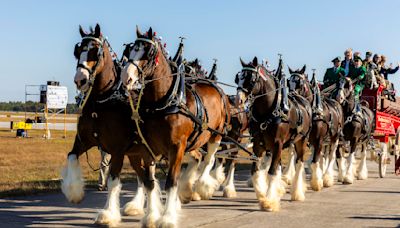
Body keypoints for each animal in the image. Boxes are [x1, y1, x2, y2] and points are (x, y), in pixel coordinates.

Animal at [60, 24, 148, 227]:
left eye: (95, 51)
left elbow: (113, 181)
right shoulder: (83, 141)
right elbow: (71, 156)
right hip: (134, 154)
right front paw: (74, 192)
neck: (100, 102)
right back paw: (135, 206)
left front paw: (108, 214)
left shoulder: (117, 150)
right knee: (141, 176)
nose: (80, 80)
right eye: (77, 52)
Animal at [120, 26, 230, 226]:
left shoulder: (177, 146)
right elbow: (149, 181)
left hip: (215, 136)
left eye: (148, 53)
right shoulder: (148, 147)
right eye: (131, 50)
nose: (127, 77)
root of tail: (218, 90)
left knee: (208, 160)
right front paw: (152, 216)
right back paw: (186, 192)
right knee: (197, 158)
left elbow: (171, 181)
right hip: (192, 142)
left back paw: (202, 187)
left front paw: (167, 217)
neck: (164, 102)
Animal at [234, 57, 312, 212]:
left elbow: (271, 171)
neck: (268, 112)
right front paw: (262, 193)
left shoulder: (278, 143)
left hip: (301, 140)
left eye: (251, 79)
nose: (238, 100)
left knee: (299, 163)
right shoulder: (258, 144)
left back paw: (297, 192)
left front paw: (269, 201)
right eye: (238, 77)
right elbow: (256, 170)